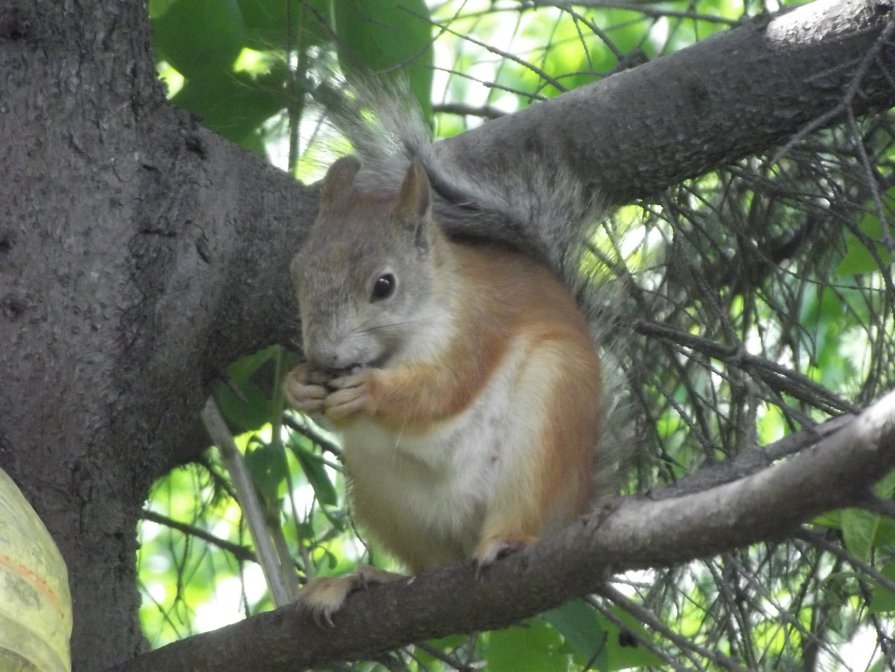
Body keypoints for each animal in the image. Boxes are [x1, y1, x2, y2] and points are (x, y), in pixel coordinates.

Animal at [284, 140, 604, 620]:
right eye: (297, 272)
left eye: (384, 285)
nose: (324, 355)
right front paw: (298, 383)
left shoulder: (474, 331)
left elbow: (443, 390)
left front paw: (370, 390)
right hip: (382, 494)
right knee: (431, 565)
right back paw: (367, 581)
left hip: (549, 416)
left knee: (523, 512)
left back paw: (504, 542)